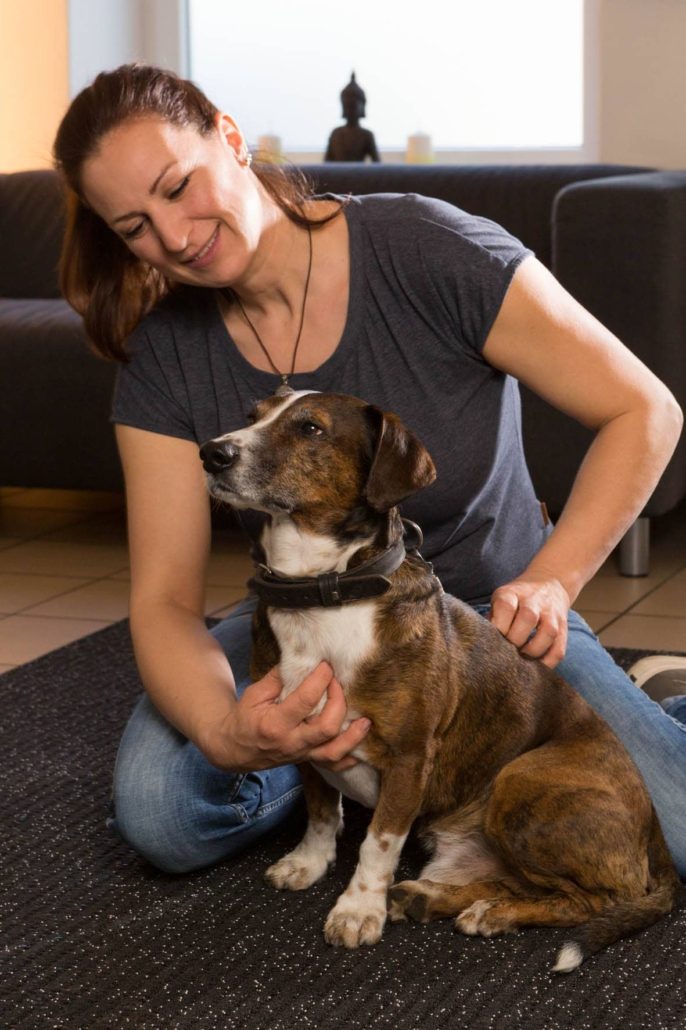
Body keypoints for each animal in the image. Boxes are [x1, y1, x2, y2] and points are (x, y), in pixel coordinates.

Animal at [198, 389, 679, 968]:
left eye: (311, 428)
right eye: (253, 416)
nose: (211, 453)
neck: (325, 590)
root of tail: (653, 836)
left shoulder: (408, 758)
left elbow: (378, 842)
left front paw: (358, 909)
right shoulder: (302, 737)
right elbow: (320, 810)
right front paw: (309, 863)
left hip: (521, 779)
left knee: (596, 899)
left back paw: (493, 914)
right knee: (524, 882)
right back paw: (434, 897)